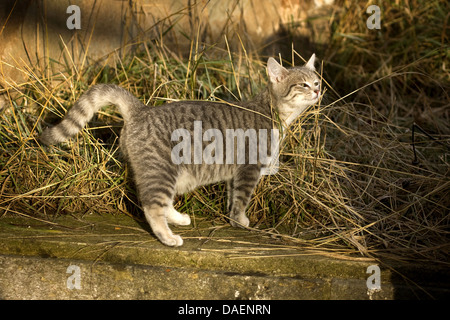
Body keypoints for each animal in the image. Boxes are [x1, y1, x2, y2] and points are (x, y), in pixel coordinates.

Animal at [39, 55, 320, 246]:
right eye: (303, 85)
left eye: (316, 81)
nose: (318, 90)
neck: (272, 112)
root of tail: (141, 110)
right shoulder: (248, 169)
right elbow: (242, 199)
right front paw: (240, 221)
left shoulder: (235, 174)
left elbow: (232, 198)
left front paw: (232, 217)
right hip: (162, 170)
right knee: (152, 206)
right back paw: (168, 237)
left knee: (162, 203)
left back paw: (179, 220)